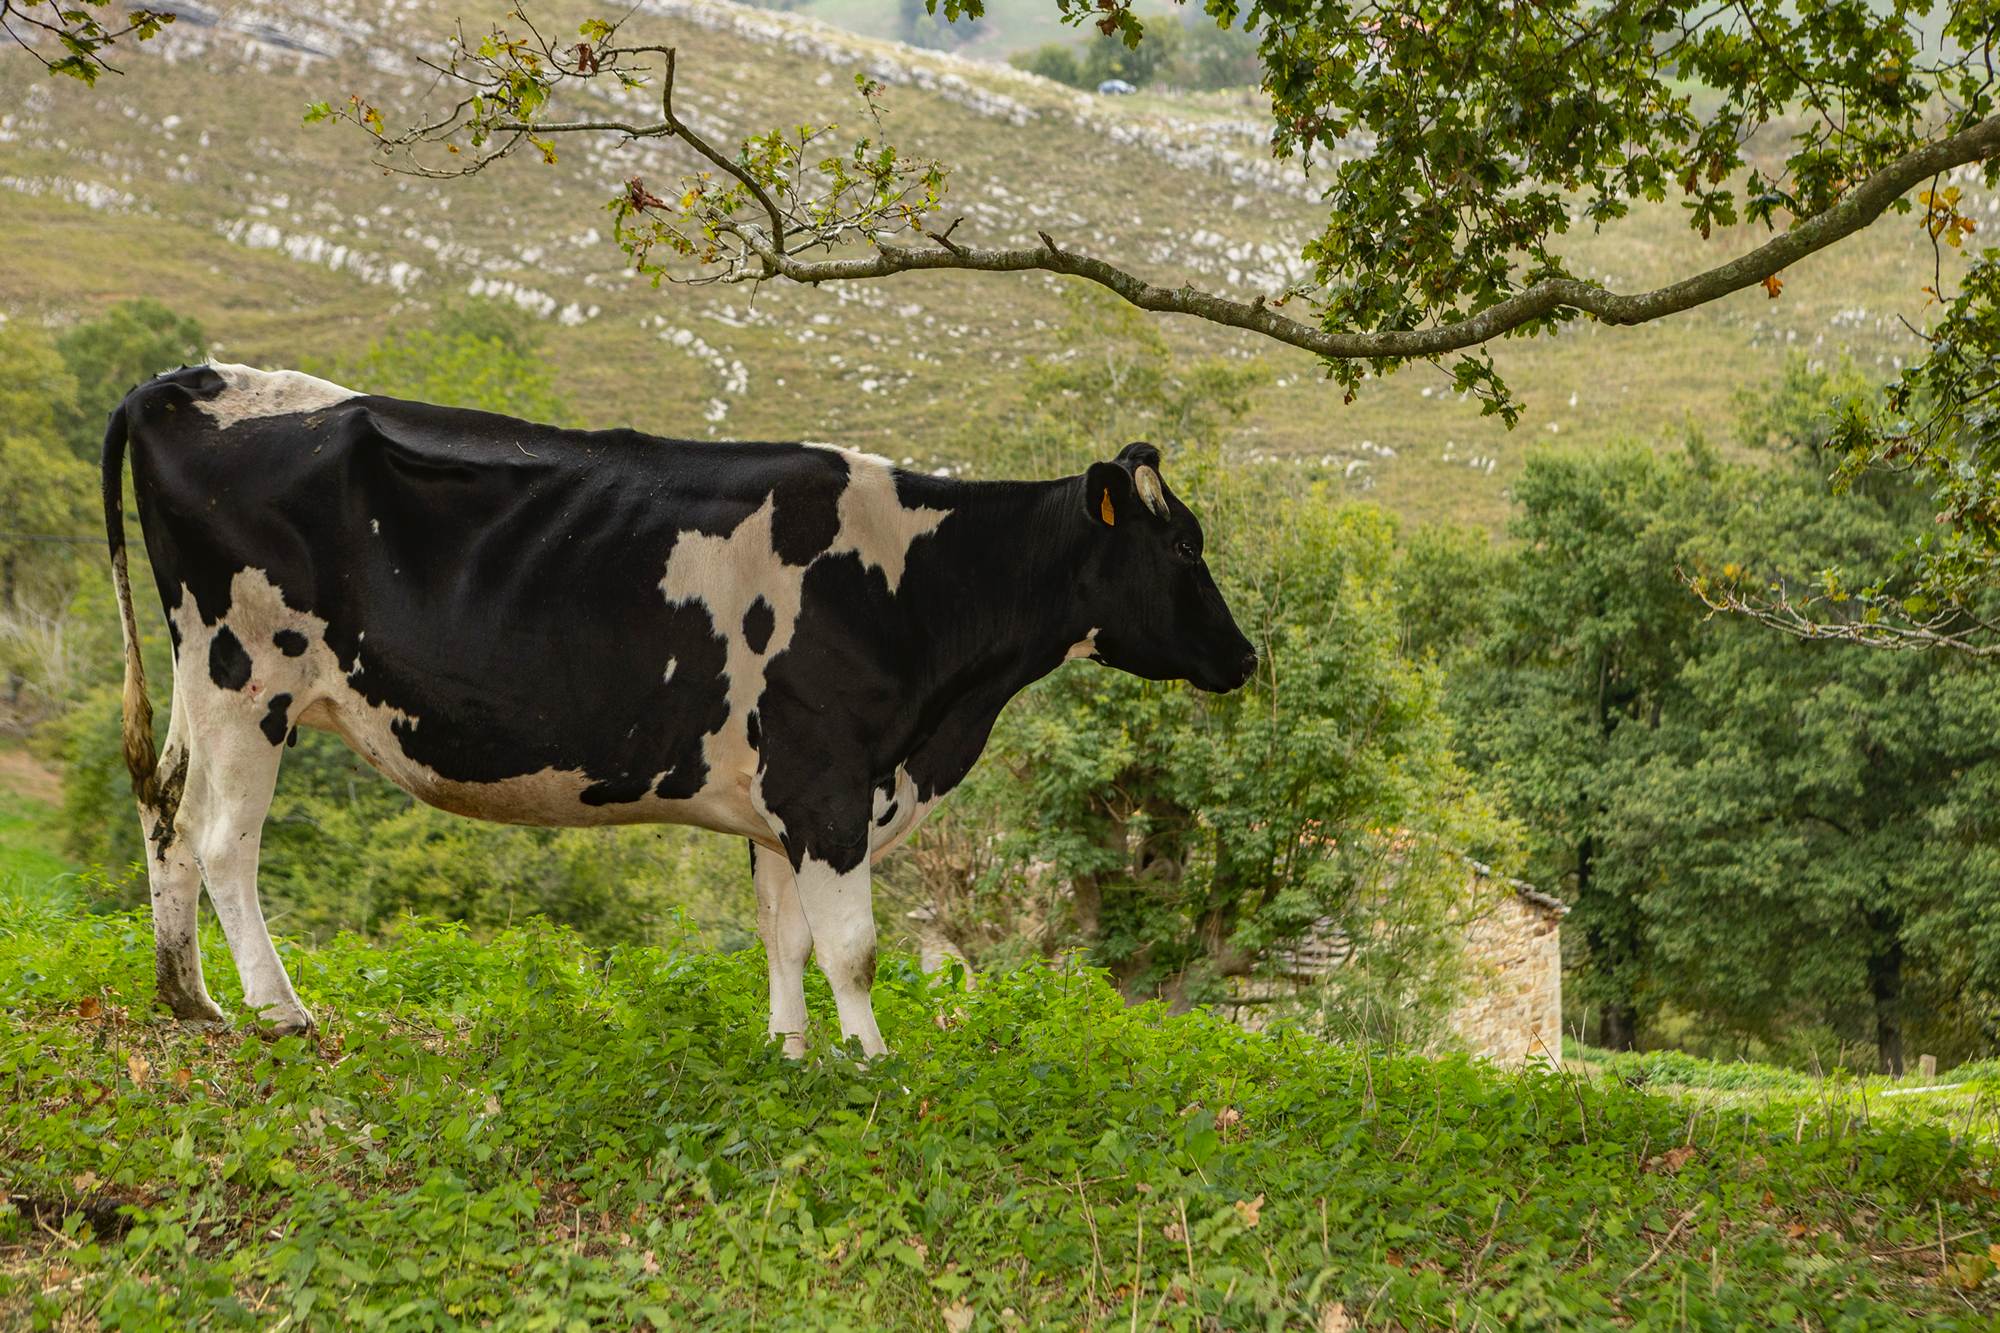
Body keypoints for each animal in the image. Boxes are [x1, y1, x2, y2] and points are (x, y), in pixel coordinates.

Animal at [102, 363, 1258, 1056]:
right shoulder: (830, 782)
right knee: (223, 842)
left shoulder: (785, 800)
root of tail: (191, 379)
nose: (1246, 655)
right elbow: (851, 946)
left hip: (200, 681)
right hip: (248, 675)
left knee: (163, 814)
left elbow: (785, 936)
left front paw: (792, 1053)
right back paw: (280, 1010)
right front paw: (873, 1063)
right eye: (1181, 543)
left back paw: (189, 999)